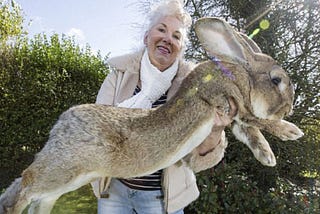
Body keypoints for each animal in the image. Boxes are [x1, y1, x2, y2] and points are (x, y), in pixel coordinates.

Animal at [0, 17, 304, 213]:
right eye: (277, 80)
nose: (290, 107)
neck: (240, 75)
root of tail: (61, 125)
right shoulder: (229, 101)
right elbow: (259, 121)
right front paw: (291, 131)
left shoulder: (235, 116)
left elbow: (250, 132)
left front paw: (267, 156)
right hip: (64, 168)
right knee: (25, 183)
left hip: (69, 179)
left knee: (36, 196)